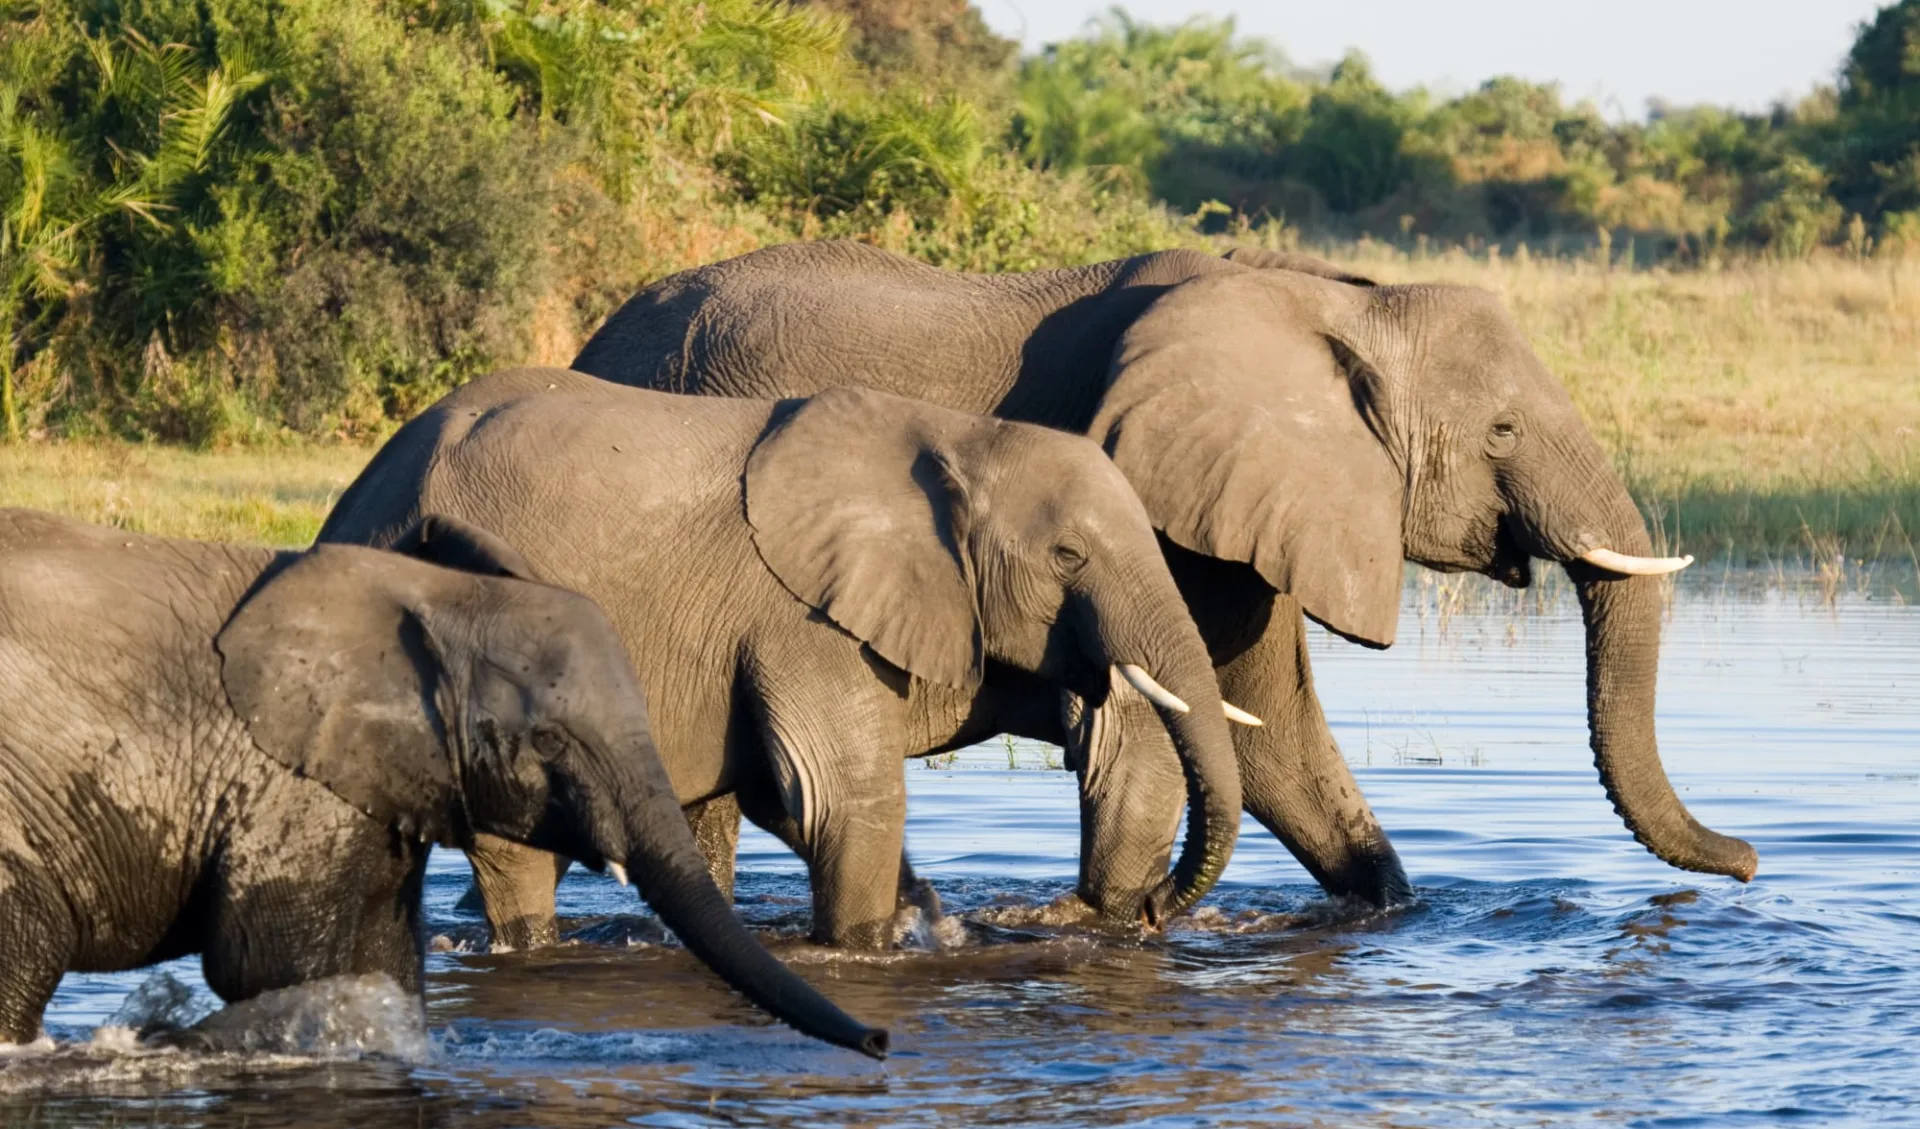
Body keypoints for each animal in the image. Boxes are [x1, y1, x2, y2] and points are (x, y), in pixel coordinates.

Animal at [0, 510, 883, 1059]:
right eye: (550, 739)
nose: (880, 1042)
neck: (427, 597)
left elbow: (384, 960)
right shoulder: (287, 783)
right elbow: (271, 965)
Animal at [314, 372, 1244, 952]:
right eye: (1067, 557)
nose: (1153, 911)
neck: (957, 435)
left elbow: (784, 798)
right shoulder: (800, 614)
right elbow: (842, 795)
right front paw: (870, 950)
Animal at [564, 238, 1758, 910]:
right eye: (1503, 430)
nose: (1749, 862)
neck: (1334, 305)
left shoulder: (1242, 515)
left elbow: (1270, 736)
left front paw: (1383, 903)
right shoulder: (1148, 507)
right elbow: (1146, 740)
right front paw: (1122, 917)